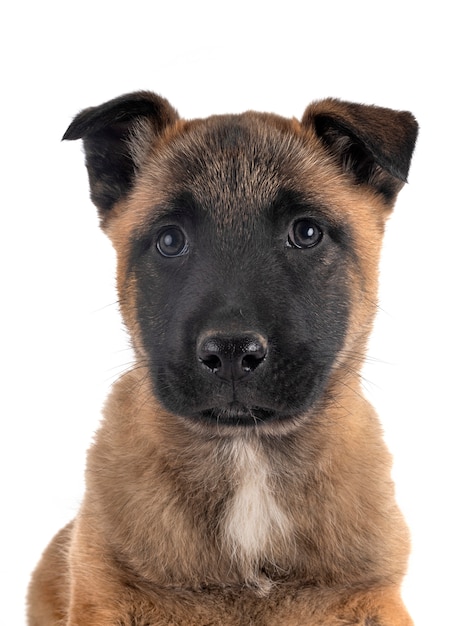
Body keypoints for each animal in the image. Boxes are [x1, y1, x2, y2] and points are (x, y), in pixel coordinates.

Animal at [26, 90, 418, 620]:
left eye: (306, 233)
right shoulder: (104, 595)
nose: (231, 352)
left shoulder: (373, 598)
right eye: (170, 240)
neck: (246, 458)